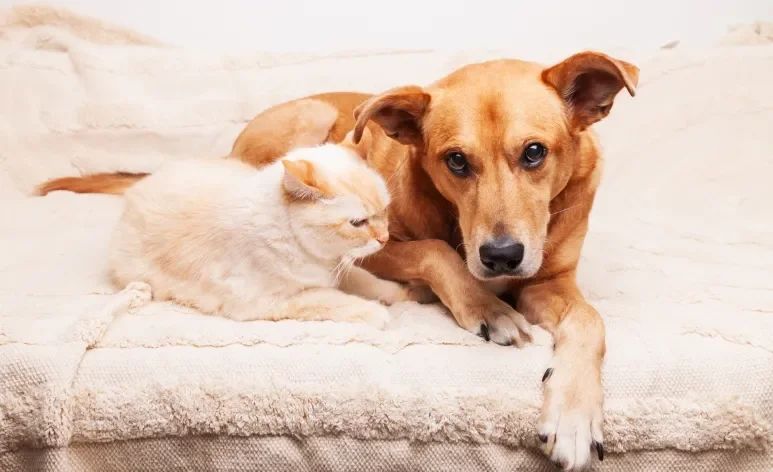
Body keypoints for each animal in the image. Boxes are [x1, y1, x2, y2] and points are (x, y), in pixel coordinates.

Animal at [107, 144, 428, 328]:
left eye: (385, 211)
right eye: (358, 223)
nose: (384, 238)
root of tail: (137, 187)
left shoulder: (338, 268)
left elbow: (370, 282)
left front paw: (404, 293)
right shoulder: (272, 301)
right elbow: (333, 299)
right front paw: (375, 312)